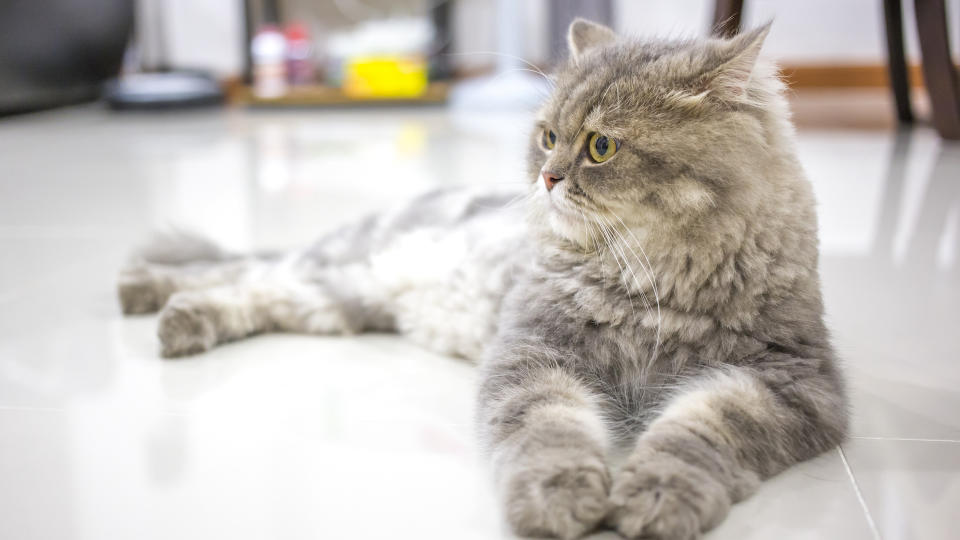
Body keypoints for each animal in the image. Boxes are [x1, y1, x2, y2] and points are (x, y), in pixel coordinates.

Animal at [120, 20, 848, 540]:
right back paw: (147, 294)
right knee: (239, 267)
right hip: (340, 267)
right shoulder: (537, 352)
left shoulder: (788, 382)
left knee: (254, 291)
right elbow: (549, 433)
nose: (547, 177)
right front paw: (560, 500)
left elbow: (695, 434)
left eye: (601, 147)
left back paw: (178, 317)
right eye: (548, 136)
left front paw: (659, 497)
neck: (649, 284)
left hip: (337, 300)